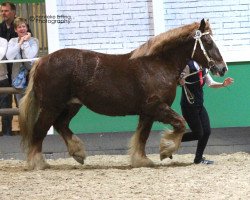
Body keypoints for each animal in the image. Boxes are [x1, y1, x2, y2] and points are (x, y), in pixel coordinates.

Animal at [19, 18, 228, 170]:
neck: (157, 65)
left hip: (72, 105)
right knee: (39, 131)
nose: (222, 68)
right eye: (208, 41)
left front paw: (142, 160)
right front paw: (165, 151)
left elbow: (142, 136)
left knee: (61, 125)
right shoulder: (157, 107)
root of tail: (42, 60)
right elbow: (180, 124)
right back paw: (39, 163)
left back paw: (78, 153)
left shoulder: (147, 112)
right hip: (51, 107)